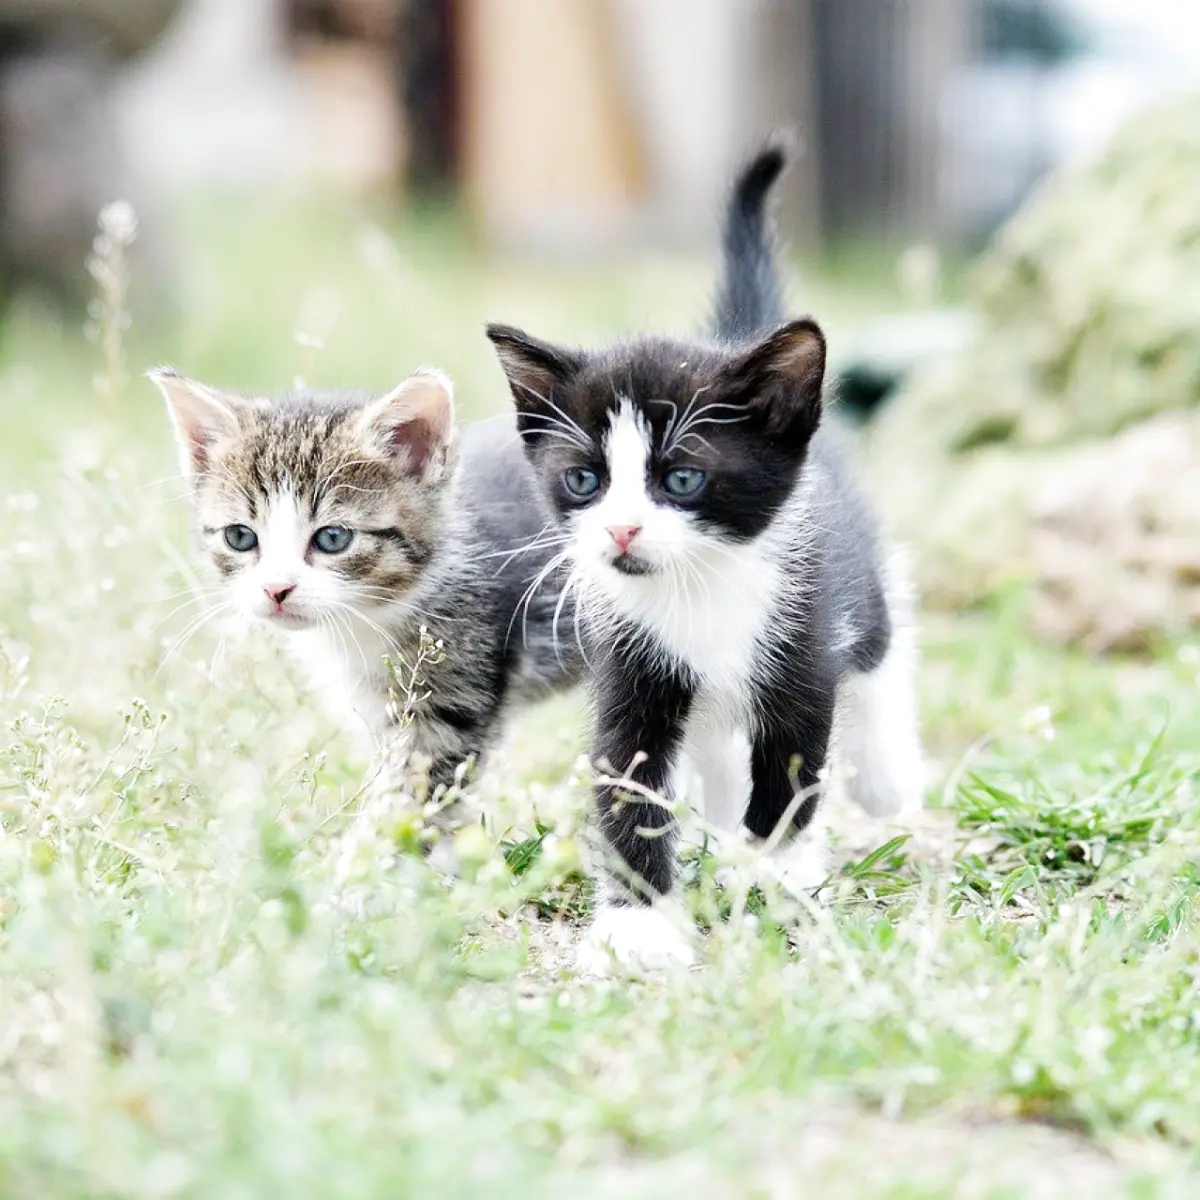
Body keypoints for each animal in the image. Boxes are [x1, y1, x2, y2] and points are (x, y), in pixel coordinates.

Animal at [484, 145, 916, 969]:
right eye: (584, 480)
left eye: (682, 478)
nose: (621, 531)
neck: (700, 589)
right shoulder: (631, 667)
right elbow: (628, 781)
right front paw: (640, 924)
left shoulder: (802, 654)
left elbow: (789, 782)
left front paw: (777, 878)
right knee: (715, 742)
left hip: (857, 594)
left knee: (882, 651)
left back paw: (888, 779)